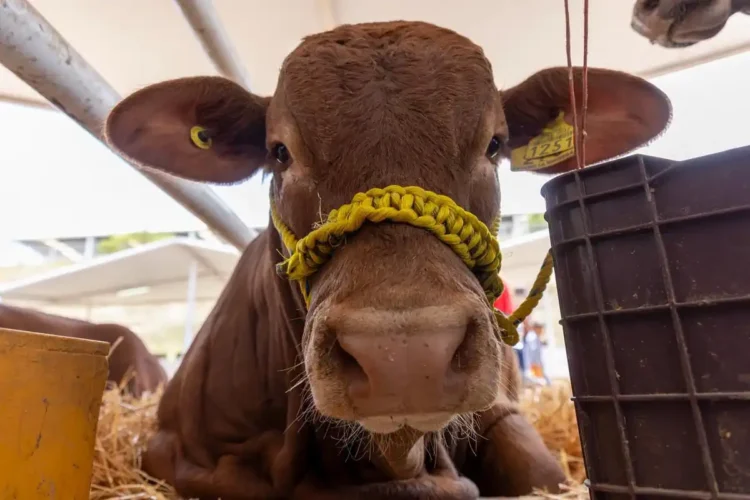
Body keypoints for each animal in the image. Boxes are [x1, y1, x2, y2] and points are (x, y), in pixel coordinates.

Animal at [104, 21, 671, 499]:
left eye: (494, 144)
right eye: (280, 152)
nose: (405, 354)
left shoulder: (505, 417)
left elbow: (541, 474)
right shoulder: (174, 449)